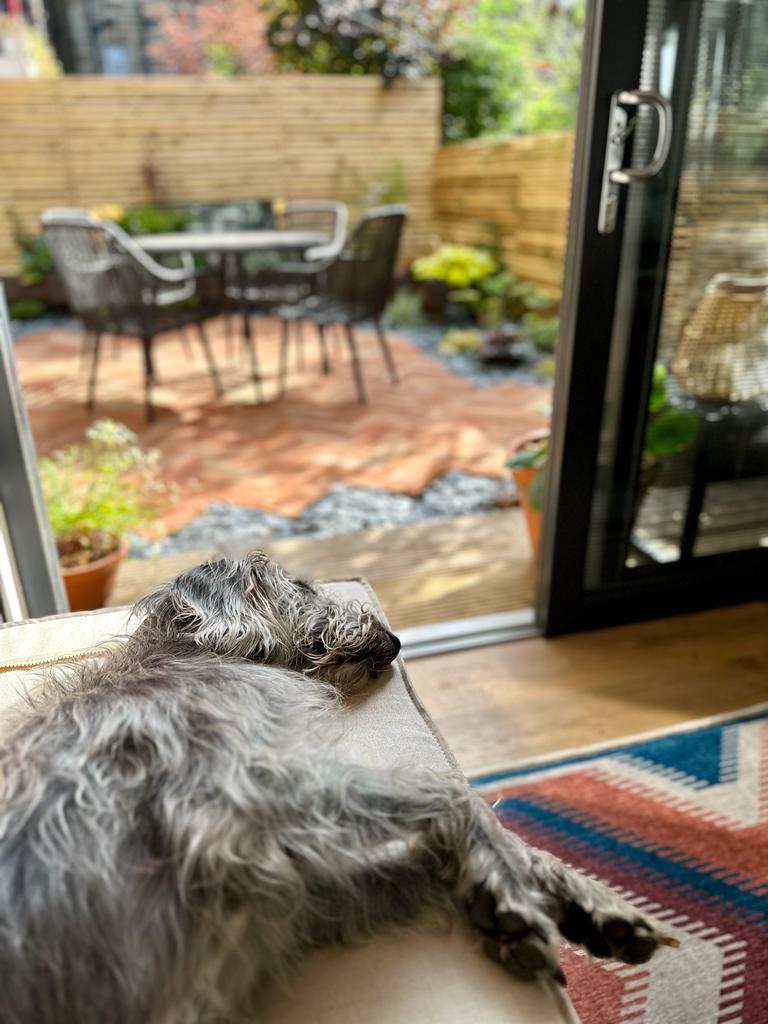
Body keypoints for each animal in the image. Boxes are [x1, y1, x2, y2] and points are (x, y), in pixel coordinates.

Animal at [0, 557, 675, 1019]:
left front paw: (581, 902)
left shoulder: (281, 894)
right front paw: (508, 893)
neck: (195, 659)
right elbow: (453, 797)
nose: (395, 642)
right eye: (300, 587)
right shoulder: (237, 805)